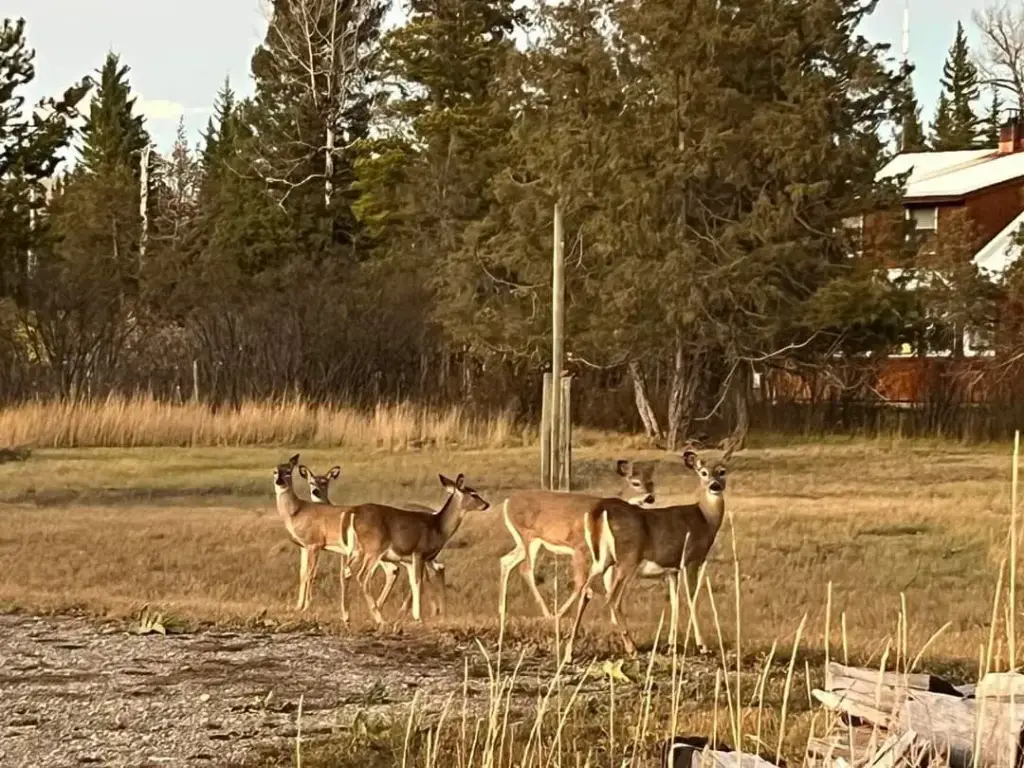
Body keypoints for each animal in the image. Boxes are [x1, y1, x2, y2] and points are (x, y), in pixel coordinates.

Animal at [272, 454, 353, 618]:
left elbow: (311, 574)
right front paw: (297, 606)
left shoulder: (314, 544)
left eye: (288, 472)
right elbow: (302, 574)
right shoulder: (303, 546)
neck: (296, 512)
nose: (279, 481)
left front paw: (307, 606)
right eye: (274, 471)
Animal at [303, 464, 451, 617]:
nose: (315, 492)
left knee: (428, 572)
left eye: (324, 482)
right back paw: (436, 610)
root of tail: (434, 514)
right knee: (436, 569)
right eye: (311, 481)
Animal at [340, 473, 490, 624]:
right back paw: (379, 618)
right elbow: (418, 582)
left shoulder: (411, 559)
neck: (438, 527)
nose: (486, 504)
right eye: (473, 494)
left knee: (346, 572)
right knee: (363, 576)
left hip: (356, 549)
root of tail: (353, 513)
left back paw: (347, 616)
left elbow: (414, 582)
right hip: (374, 549)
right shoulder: (419, 552)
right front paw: (418, 617)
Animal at [496, 459, 658, 627]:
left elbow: (608, 583)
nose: (650, 498)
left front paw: (614, 620)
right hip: (528, 535)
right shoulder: (579, 547)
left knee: (506, 560)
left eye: (651, 482)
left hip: (526, 540)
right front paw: (559, 615)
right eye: (636, 483)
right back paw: (547, 614)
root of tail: (507, 502)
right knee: (525, 569)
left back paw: (502, 610)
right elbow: (581, 583)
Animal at [561, 447, 730, 663]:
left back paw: (568, 652)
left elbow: (675, 602)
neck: (704, 519)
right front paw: (703, 647)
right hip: (628, 558)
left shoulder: (672, 569)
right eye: (703, 472)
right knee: (612, 598)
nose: (715, 486)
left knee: (585, 591)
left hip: (602, 559)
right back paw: (631, 648)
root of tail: (600, 510)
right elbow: (693, 600)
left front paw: (672, 647)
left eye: (722, 471)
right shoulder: (691, 559)